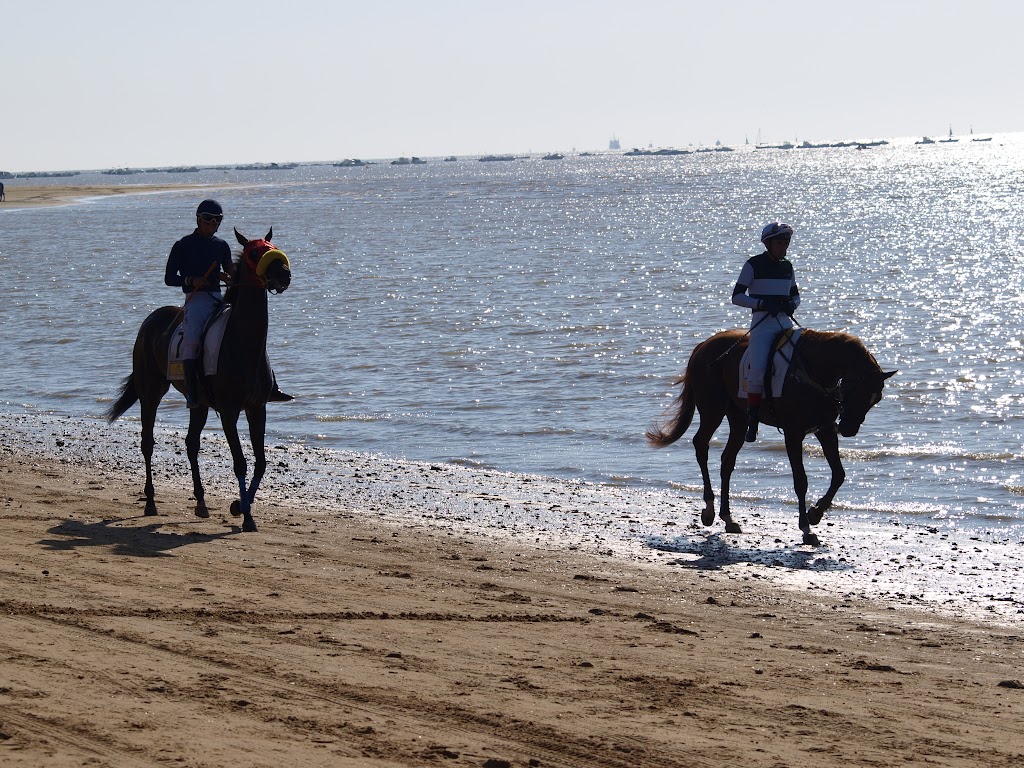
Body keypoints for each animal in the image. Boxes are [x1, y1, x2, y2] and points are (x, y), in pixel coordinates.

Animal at [106, 228, 292, 532]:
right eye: (255, 252)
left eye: (273, 245)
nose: (284, 274)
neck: (242, 344)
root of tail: (152, 318)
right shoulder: (229, 411)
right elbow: (240, 462)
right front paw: (246, 515)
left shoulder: (257, 408)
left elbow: (261, 463)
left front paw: (240, 506)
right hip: (151, 391)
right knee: (147, 442)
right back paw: (150, 502)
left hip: (199, 403)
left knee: (191, 443)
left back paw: (201, 501)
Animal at [646, 328, 895, 545]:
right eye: (858, 391)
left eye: (876, 399)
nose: (849, 429)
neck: (814, 371)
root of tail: (704, 345)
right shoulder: (793, 434)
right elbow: (800, 481)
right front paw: (806, 529)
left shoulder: (825, 430)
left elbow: (839, 474)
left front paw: (815, 513)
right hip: (712, 410)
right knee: (701, 445)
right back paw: (709, 510)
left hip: (738, 417)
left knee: (727, 461)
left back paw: (728, 518)